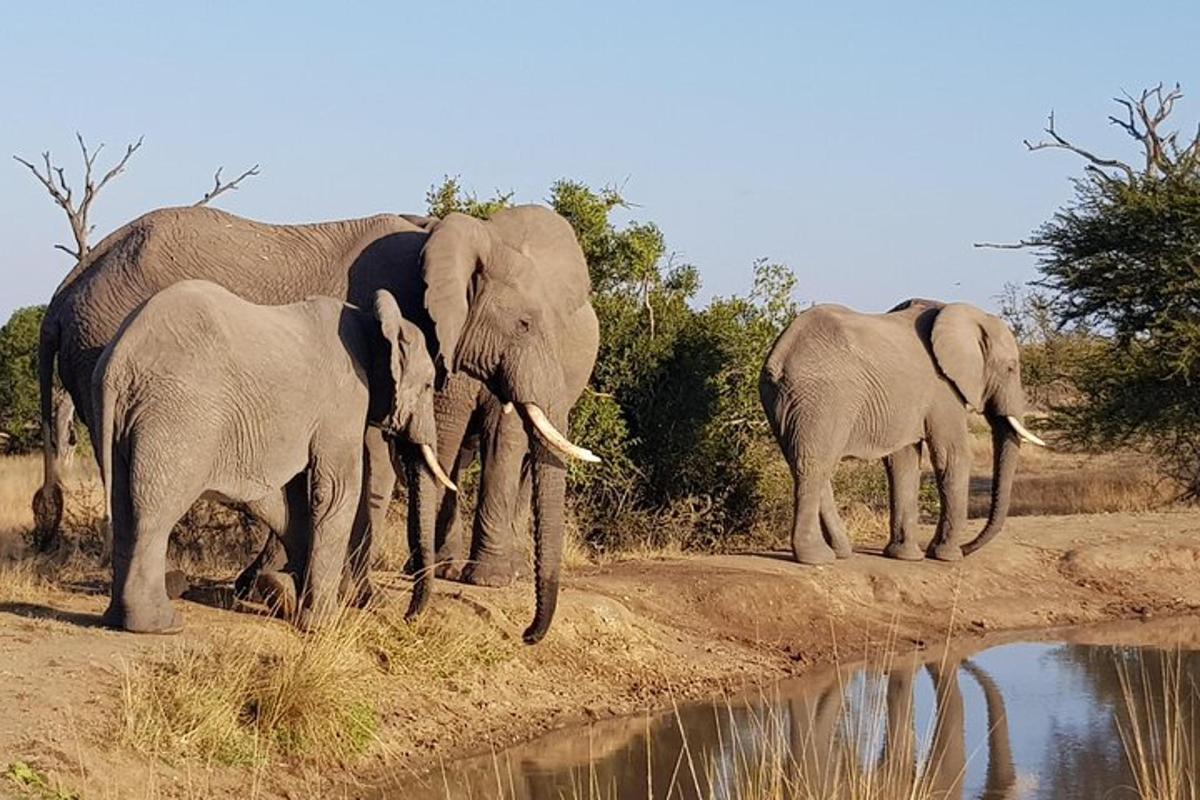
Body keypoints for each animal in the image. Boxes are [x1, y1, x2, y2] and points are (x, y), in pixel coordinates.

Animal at [85, 280, 451, 633]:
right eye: (428, 386)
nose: (408, 617)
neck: (372, 321)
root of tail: (118, 360)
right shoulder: (346, 399)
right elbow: (336, 491)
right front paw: (323, 624)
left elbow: (293, 498)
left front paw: (284, 592)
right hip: (178, 413)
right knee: (156, 511)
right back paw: (160, 626)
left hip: (122, 417)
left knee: (123, 507)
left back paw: (118, 619)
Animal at [758, 297, 1051, 566]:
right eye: (1011, 368)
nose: (968, 548)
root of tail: (780, 355)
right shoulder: (942, 389)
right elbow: (952, 456)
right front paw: (947, 556)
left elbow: (903, 461)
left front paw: (906, 556)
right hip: (823, 397)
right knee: (814, 465)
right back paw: (816, 558)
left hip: (783, 401)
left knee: (807, 465)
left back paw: (840, 552)